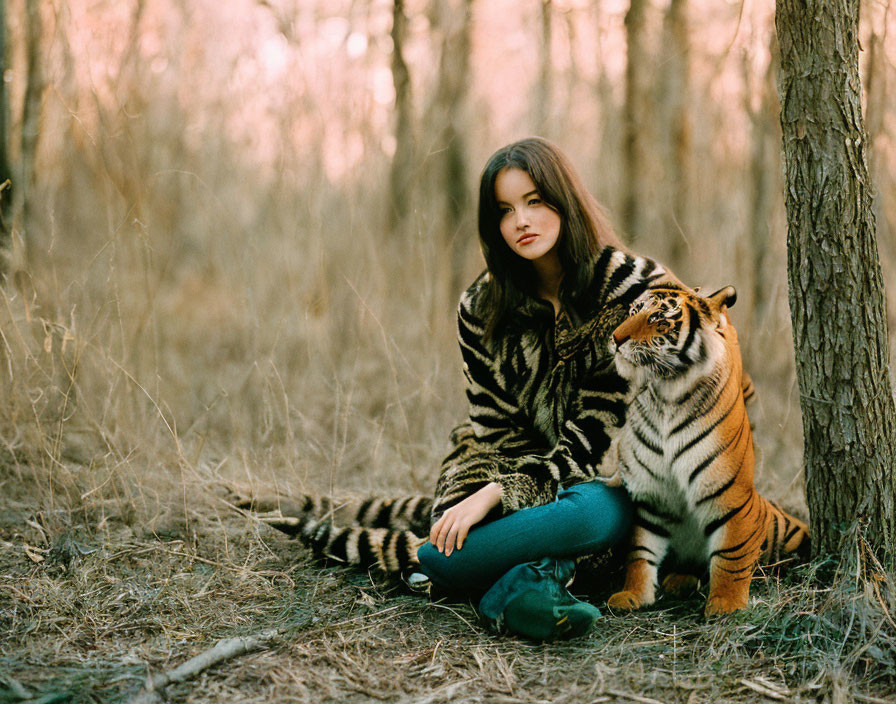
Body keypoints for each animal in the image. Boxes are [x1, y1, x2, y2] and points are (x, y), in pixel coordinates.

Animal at [600, 284, 812, 612]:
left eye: (659, 319)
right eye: (634, 311)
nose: (615, 338)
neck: (667, 395)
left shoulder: (730, 494)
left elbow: (732, 555)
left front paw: (726, 605)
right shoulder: (650, 493)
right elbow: (640, 548)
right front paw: (633, 594)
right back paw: (679, 581)